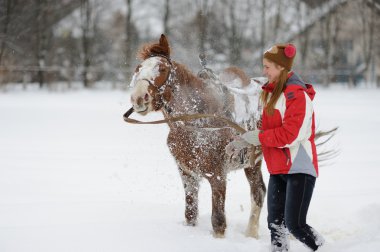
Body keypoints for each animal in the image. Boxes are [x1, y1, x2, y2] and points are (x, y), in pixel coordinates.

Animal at [127, 34, 264, 238]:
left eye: (162, 68)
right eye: (139, 68)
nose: (138, 98)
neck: (197, 120)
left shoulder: (217, 175)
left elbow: (218, 221)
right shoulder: (187, 173)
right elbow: (190, 213)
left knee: (258, 193)